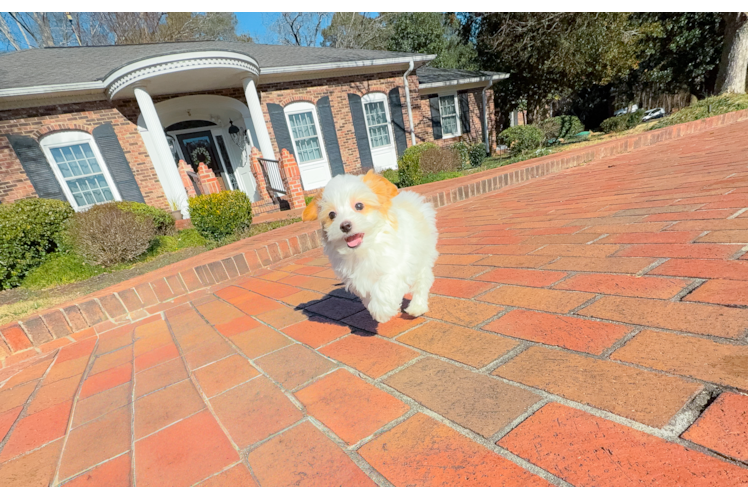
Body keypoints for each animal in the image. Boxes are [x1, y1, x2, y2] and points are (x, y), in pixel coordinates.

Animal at [300, 170, 438, 322]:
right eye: (331, 214)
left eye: (359, 206)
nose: (345, 225)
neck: (364, 248)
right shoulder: (355, 276)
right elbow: (365, 291)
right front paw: (376, 306)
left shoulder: (397, 264)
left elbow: (385, 285)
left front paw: (382, 311)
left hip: (422, 255)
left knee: (422, 280)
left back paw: (417, 307)